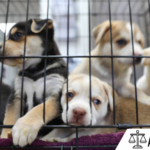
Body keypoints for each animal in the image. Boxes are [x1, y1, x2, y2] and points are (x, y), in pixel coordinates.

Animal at [0, 18, 66, 146]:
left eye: (18, 34)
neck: (35, 71)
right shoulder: (16, 95)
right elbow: (9, 118)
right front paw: (4, 137)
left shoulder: (55, 93)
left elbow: (39, 109)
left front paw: (24, 128)